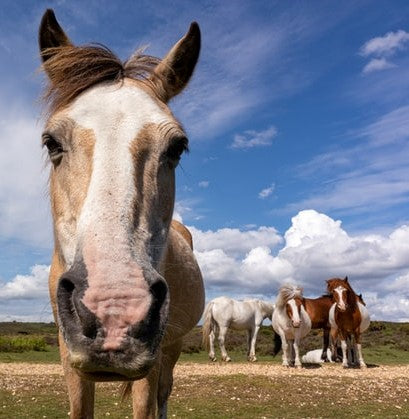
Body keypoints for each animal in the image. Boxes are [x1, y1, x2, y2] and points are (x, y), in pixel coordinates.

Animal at [38, 9, 204, 419]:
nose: (115, 309)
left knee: (164, 393)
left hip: (172, 347)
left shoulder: (155, 353)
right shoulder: (68, 352)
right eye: (51, 142)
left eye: (177, 147)